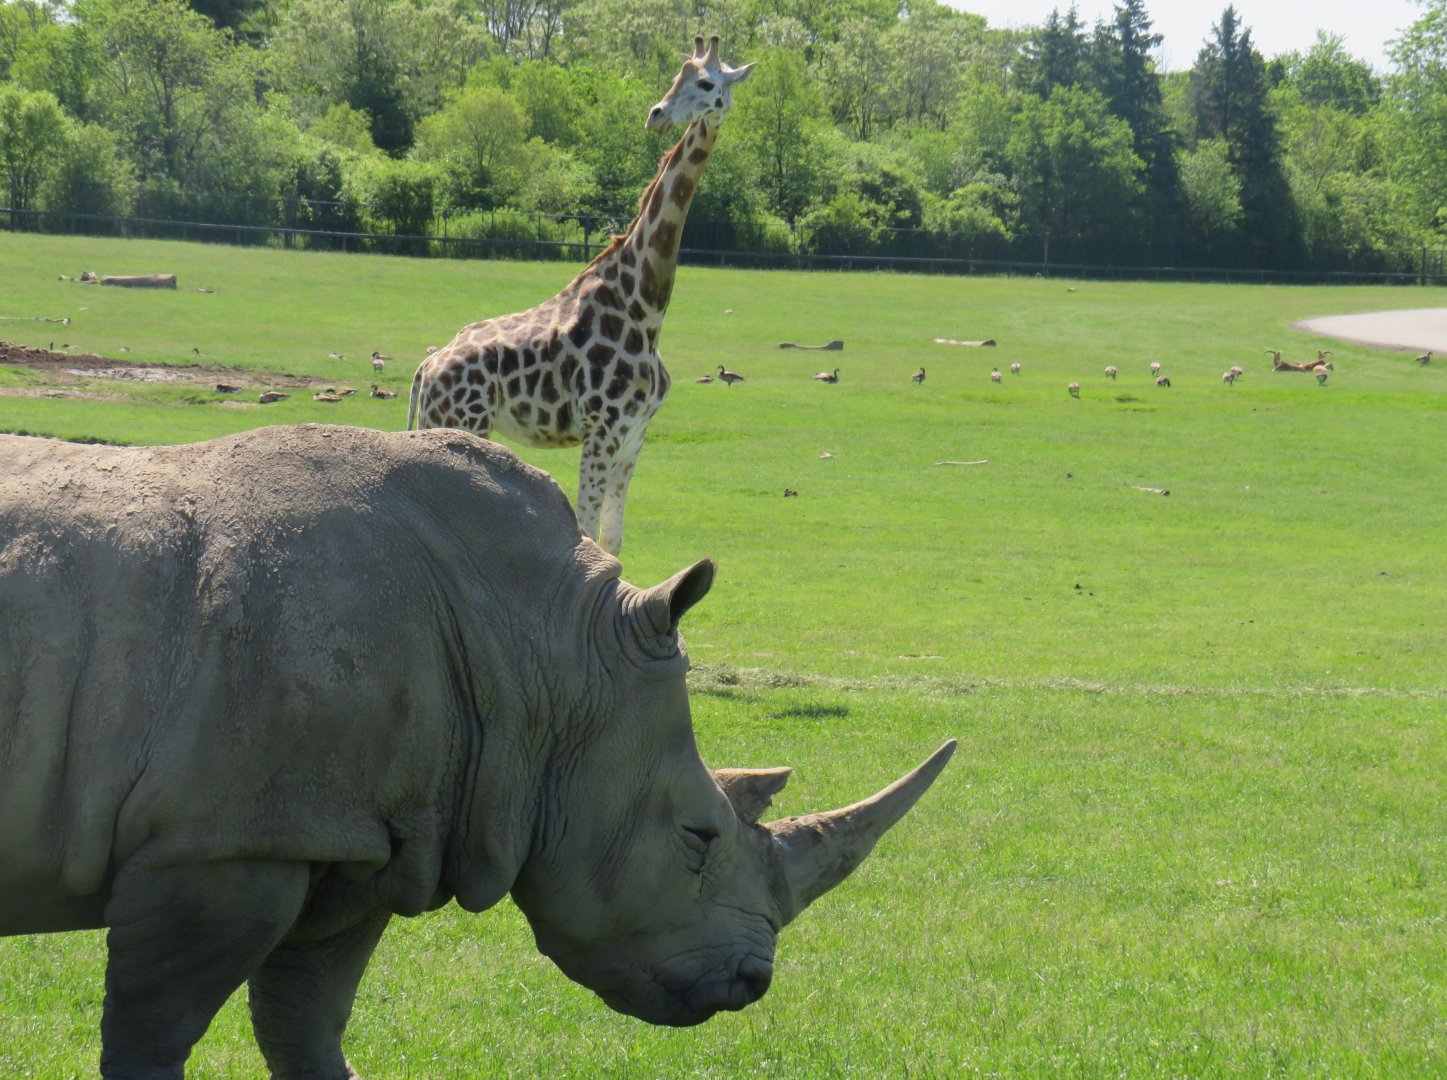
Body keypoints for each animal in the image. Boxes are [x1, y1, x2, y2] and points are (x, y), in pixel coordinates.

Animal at [0, 424, 955, 1078]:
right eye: (697, 836)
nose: (752, 984)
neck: (544, 650)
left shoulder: (352, 835)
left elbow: (305, 1022)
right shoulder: (223, 844)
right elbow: (152, 1033)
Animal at [408, 35, 754, 556]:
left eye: (708, 84)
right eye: (678, 78)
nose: (657, 114)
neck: (646, 306)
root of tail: (425, 371)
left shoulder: (634, 436)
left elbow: (612, 540)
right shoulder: (601, 428)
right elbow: (587, 532)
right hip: (460, 425)